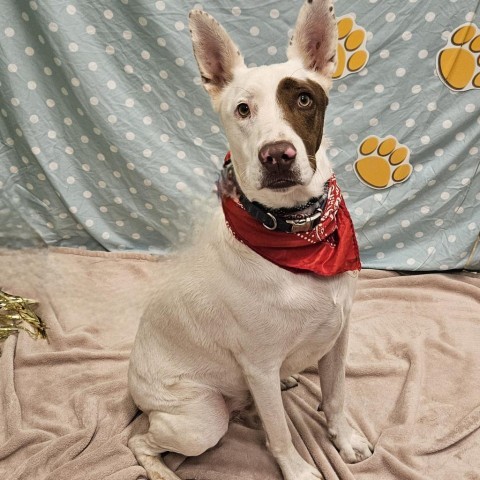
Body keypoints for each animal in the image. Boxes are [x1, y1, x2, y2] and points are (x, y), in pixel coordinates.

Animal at [126, 1, 372, 478]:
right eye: (242, 110)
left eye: (303, 99)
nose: (277, 155)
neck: (298, 231)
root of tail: (134, 388)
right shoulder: (258, 366)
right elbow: (279, 432)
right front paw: (297, 469)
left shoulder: (339, 335)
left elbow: (335, 396)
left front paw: (344, 440)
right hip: (201, 419)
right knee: (139, 441)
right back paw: (161, 469)